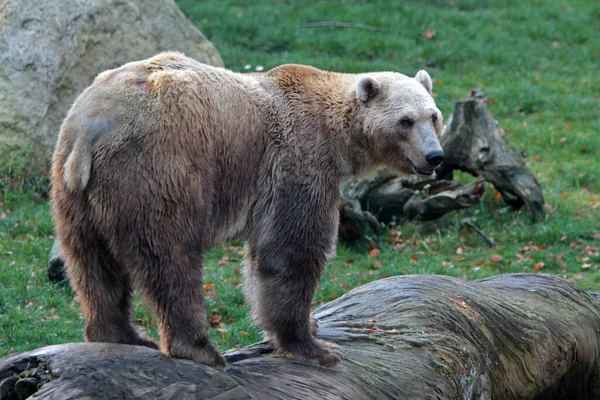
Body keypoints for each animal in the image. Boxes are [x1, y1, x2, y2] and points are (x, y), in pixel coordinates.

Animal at [51, 52, 442, 368]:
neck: (336, 135)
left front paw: (311, 326)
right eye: (406, 120)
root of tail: (92, 127)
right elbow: (291, 251)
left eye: (433, 116)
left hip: (73, 190)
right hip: (157, 168)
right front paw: (314, 346)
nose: (435, 156)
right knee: (170, 257)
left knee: (90, 264)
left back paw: (120, 334)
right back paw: (199, 348)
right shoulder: (298, 162)